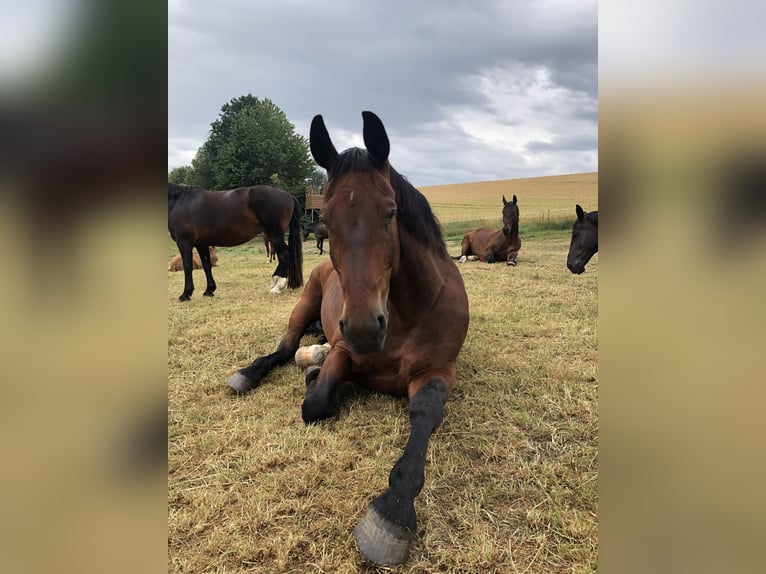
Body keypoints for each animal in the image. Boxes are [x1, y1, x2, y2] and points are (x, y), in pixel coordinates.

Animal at [167, 183, 304, 302]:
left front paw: (185, 294)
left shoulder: (184, 243)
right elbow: (206, 266)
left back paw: (277, 287)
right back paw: (275, 282)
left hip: (275, 235)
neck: (179, 202)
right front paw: (209, 290)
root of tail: (289, 196)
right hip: (273, 236)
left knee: (285, 256)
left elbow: (187, 267)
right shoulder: (202, 244)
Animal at [225, 111, 472, 568]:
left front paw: (392, 511)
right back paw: (253, 372)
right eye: (327, 219)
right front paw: (315, 378)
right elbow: (317, 402)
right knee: (284, 349)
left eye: (391, 213)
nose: (363, 328)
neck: (408, 312)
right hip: (304, 304)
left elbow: (425, 415)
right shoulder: (345, 352)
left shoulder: (437, 372)